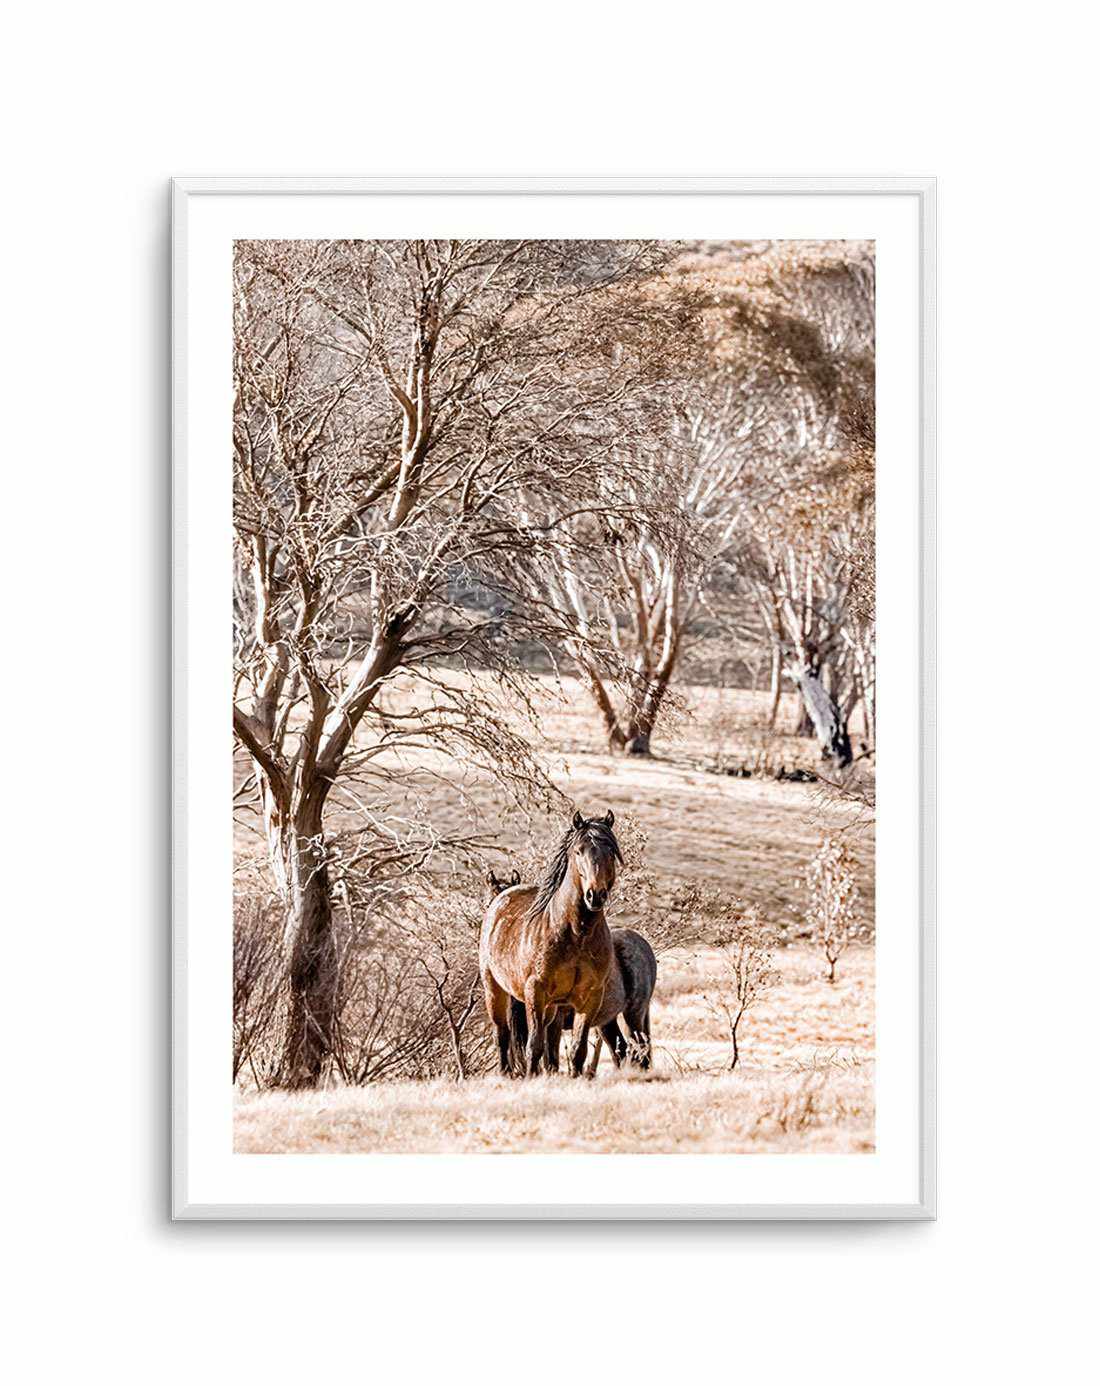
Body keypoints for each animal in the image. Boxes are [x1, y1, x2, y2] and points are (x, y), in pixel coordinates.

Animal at [476, 809, 620, 1075]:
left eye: (611, 852)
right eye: (579, 851)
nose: (595, 895)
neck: (576, 933)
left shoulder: (590, 997)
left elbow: (577, 1050)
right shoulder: (536, 991)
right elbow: (534, 1046)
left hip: (553, 1007)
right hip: (496, 991)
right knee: (502, 1034)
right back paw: (506, 1073)